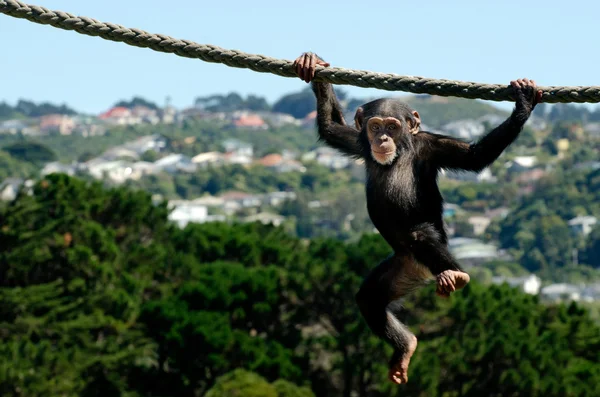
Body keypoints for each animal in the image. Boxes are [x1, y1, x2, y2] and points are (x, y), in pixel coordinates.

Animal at [296, 51, 544, 384]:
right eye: (375, 126)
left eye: (392, 126)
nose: (382, 138)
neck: (400, 153)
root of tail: (423, 270)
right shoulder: (358, 142)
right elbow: (329, 126)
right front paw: (313, 64)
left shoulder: (431, 147)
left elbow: (474, 157)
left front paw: (523, 103)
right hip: (401, 270)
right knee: (369, 299)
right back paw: (405, 348)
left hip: (424, 258)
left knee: (421, 236)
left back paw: (456, 275)